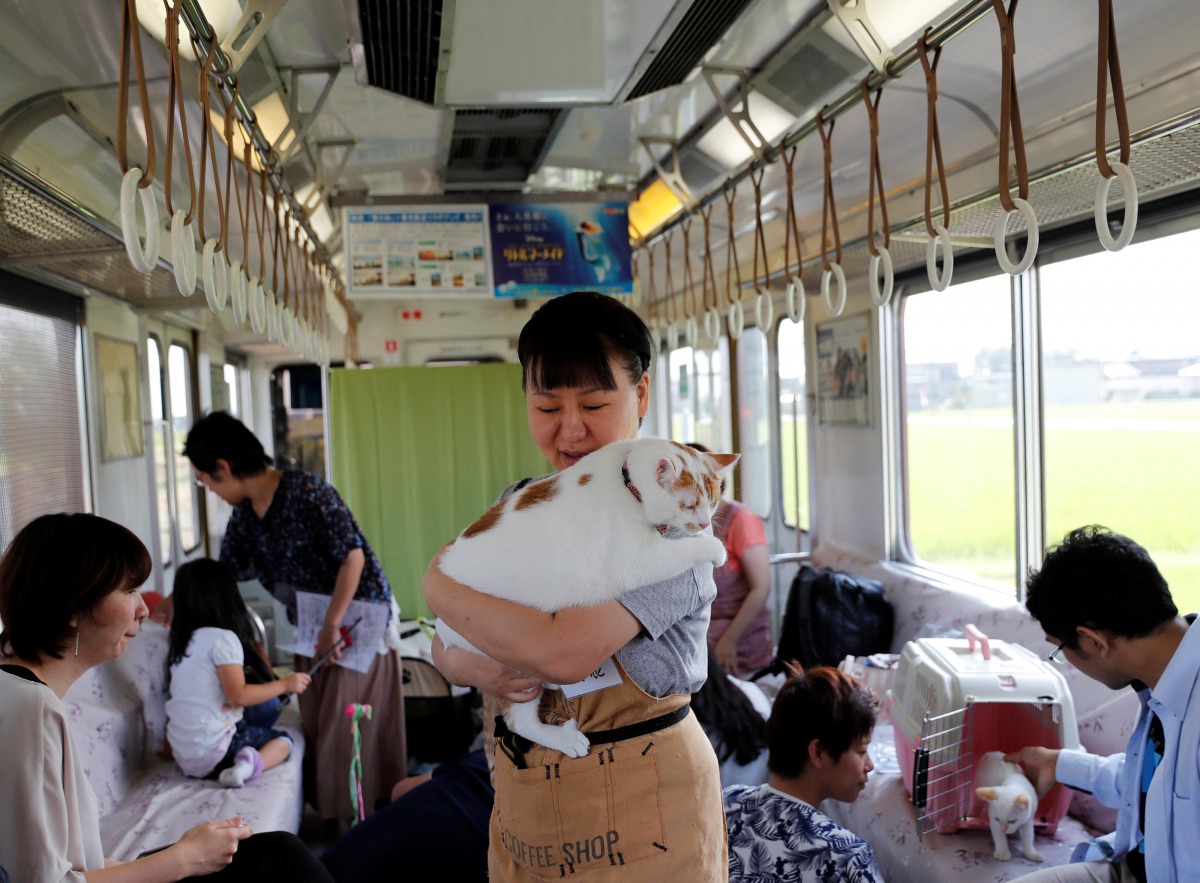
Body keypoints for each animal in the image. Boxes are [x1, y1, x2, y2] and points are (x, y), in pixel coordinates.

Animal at [439, 441, 734, 758]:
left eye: (713, 502)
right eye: (689, 505)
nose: (704, 522)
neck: (626, 481)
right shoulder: (638, 559)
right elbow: (681, 550)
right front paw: (714, 547)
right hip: (508, 656)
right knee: (519, 720)